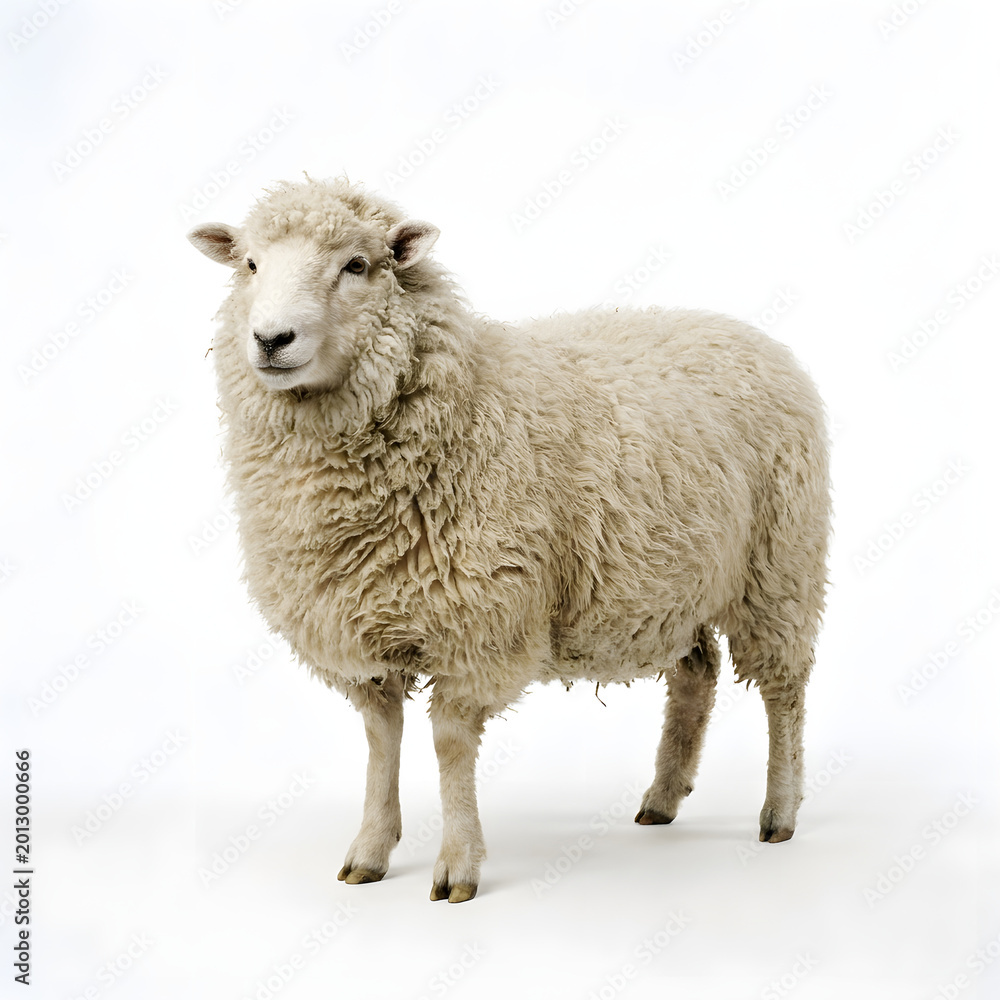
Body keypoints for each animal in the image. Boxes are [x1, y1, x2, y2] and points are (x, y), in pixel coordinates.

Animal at [187, 177, 831, 903]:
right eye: (250, 265)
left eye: (356, 265)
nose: (272, 339)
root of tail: (747, 332)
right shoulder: (365, 626)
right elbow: (382, 740)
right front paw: (370, 852)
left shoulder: (479, 621)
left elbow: (448, 743)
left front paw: (458, 866)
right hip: (671, 583)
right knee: (697, 674)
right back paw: (663, 798)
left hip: (778, 566)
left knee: (784, 690)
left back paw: (780, 811)